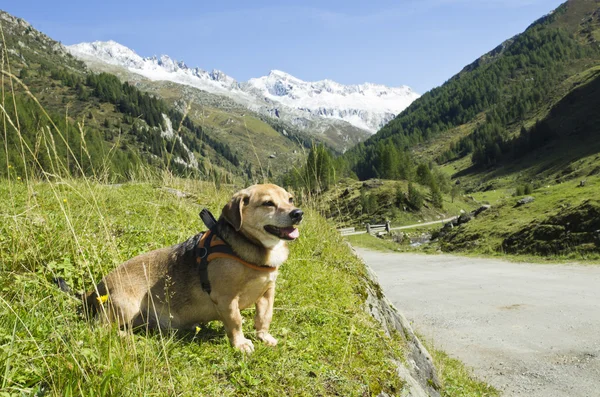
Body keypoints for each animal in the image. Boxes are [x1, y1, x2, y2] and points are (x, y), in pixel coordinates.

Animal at [82, 183, 302, 352]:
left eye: (290, 199)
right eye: (268, 203)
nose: (298, 213)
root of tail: (95, 290)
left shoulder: (267, 292)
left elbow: (264, 317)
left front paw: (264, 336)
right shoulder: (227, 298)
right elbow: (236, 321)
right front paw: (240, 344)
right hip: (126, 306)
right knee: (99, 328)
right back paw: (128, 337)